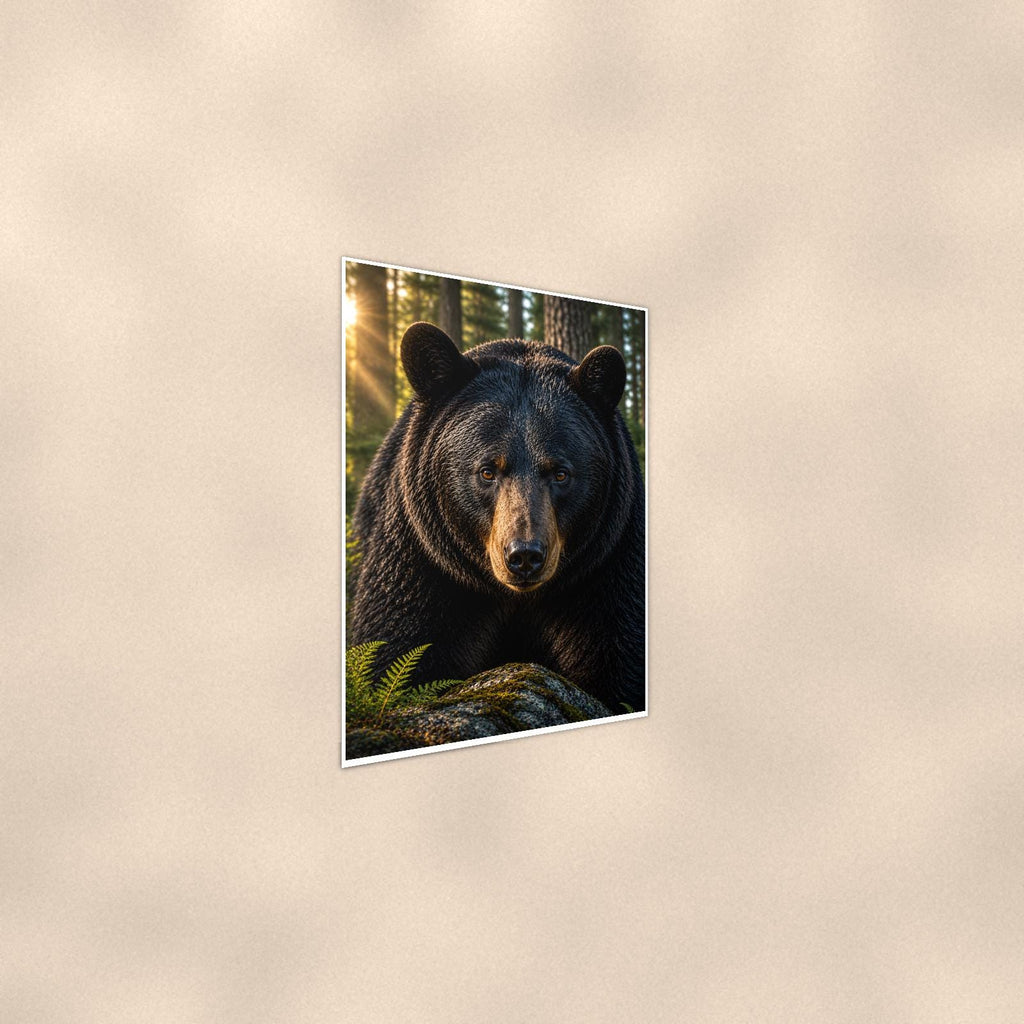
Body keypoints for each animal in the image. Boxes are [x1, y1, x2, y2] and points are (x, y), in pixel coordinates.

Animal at [348, 321, 645, 714]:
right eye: (487, 470)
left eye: (560, 473)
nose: (525, 556)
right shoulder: (424, 561)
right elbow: (399, 642)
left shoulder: (607, 564)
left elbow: (620, 654)